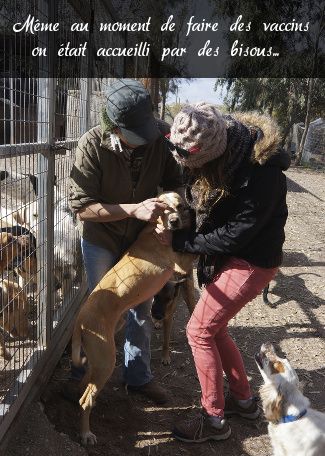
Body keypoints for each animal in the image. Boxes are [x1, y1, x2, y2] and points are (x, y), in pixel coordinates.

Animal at [71, 192, 195, 446]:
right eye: (163, 208)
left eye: (179, 206)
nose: (176, 221)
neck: (155, 229)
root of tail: (80, 319)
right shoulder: (181, 265)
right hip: (106, 361)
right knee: (85, 399)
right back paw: (86, 433)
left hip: (98, 360)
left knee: (84, 387)